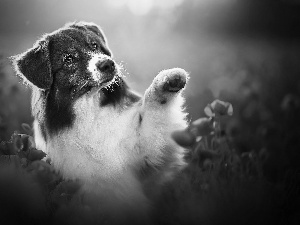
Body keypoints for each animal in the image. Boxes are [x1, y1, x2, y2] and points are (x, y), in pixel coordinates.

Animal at [12, 21, 190, 223]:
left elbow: (155, 116)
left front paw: (168, 80)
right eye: (69, 59)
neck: (90, 110)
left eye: (94, 45)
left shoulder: (143, 157)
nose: (107, 64)